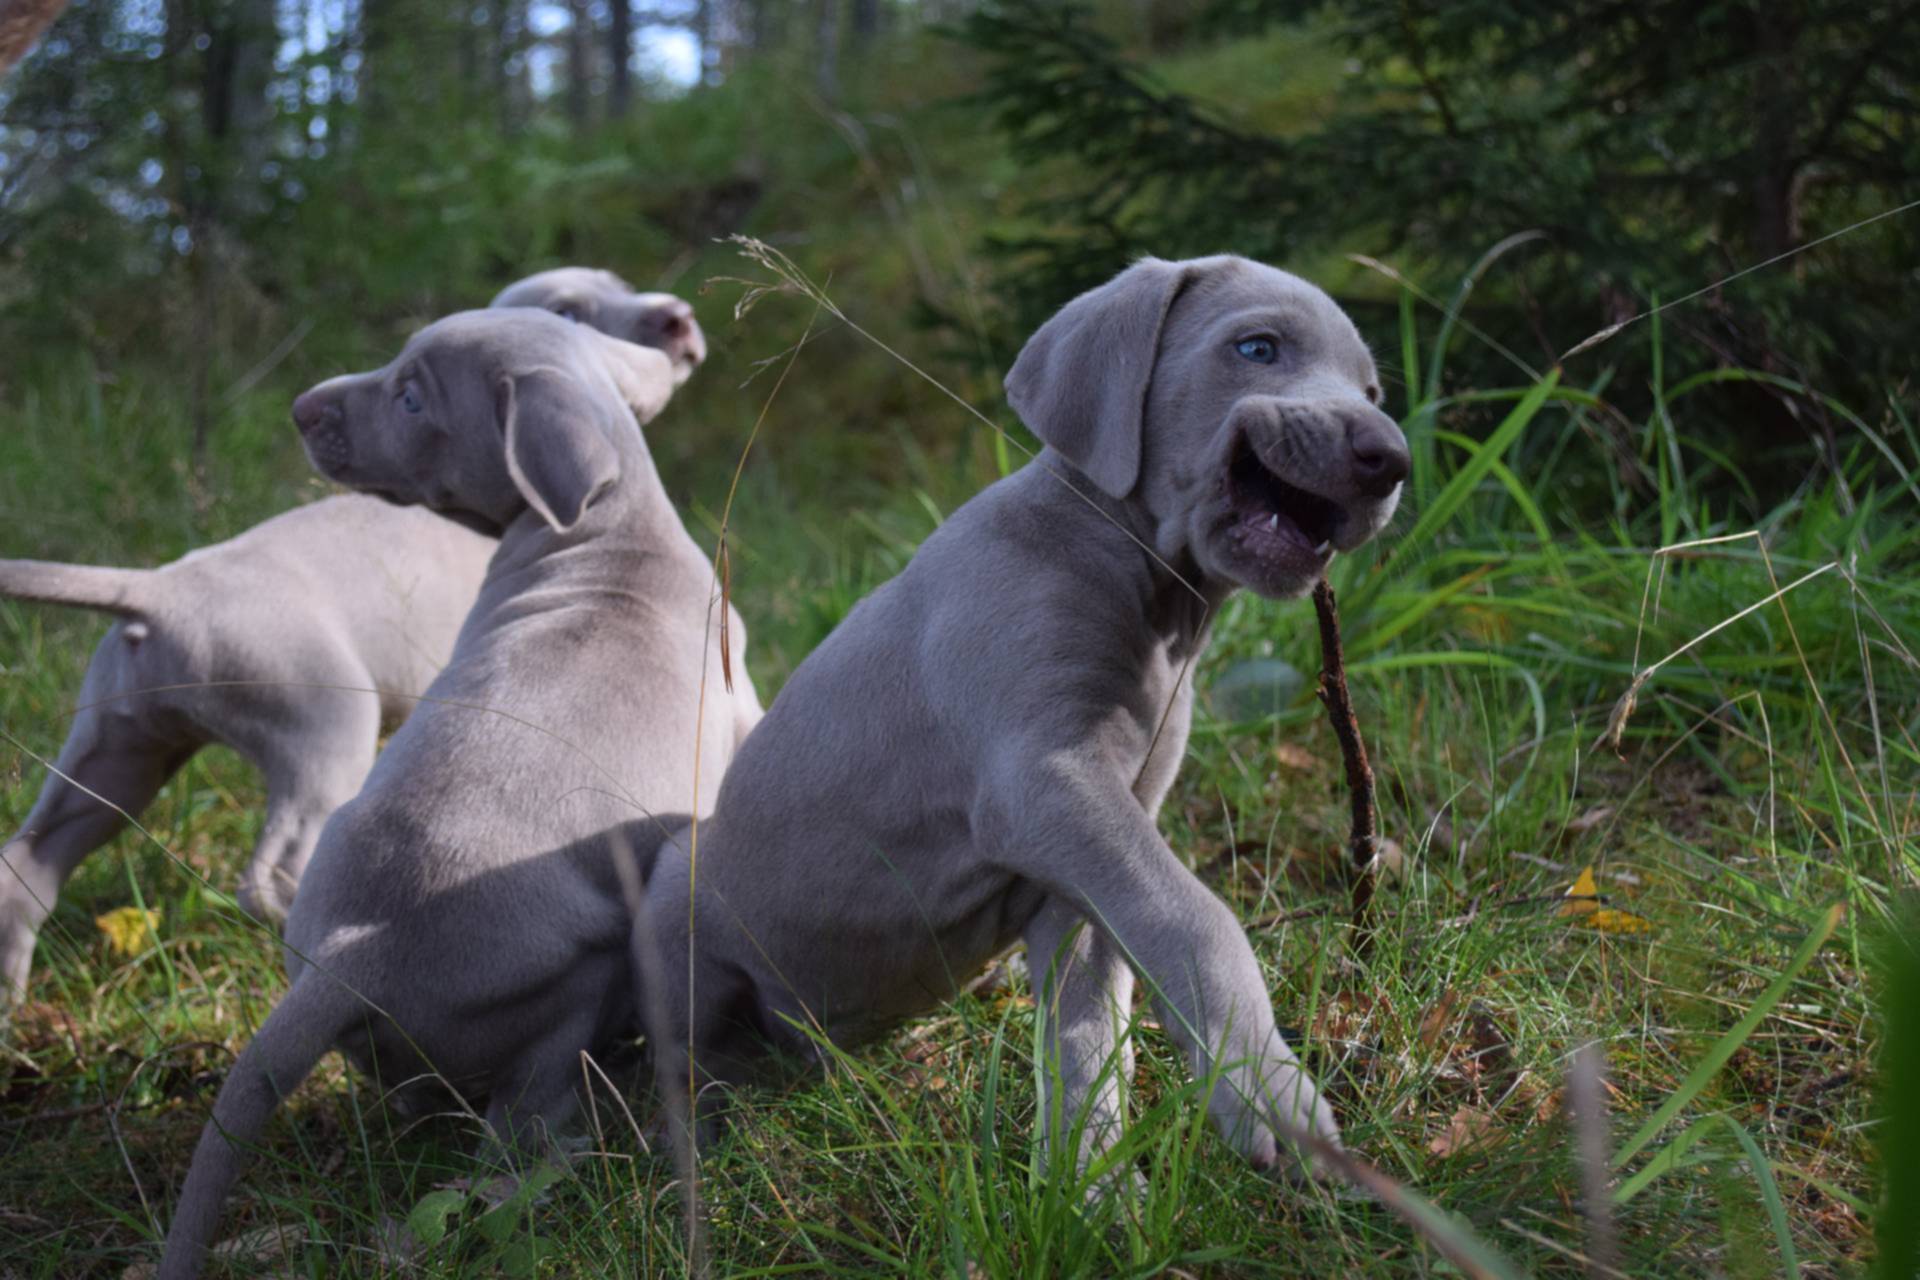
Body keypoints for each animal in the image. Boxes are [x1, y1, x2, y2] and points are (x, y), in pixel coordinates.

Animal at [0, 272, 706, 1013]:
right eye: (569, 312)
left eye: (618, 286)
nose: (677, 318)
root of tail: (161, 590)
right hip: (321, 733)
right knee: (269, 876)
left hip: (116, 749)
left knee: (28, 862)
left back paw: (10, 1000)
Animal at [637, 255, 1405, 1197]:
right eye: (1258, 347)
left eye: (1372, 390)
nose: (1390, 457)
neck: (1144, 589)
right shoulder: (1043, 781)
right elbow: (1197, 916)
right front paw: (1264, 1089)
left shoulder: (1084, 867)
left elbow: (1089, 1026)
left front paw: (1093, 1184)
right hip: (673, 892)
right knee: (680, 1065)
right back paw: (689, 1154)